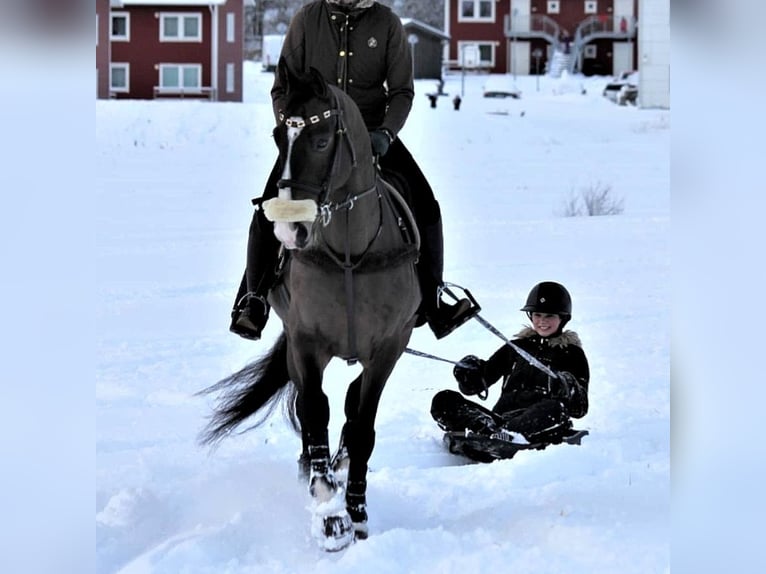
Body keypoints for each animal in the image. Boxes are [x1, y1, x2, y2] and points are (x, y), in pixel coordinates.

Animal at [201, 64, 424, 552]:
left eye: (321, 141)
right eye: (277, 136)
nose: (288, 230)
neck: (349, 254)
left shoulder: (390, 347)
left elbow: (361, 427)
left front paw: (356, 512)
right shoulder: (305, 341)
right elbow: (314, 411)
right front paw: (329, 514)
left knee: (351, 403)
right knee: (312, 407)